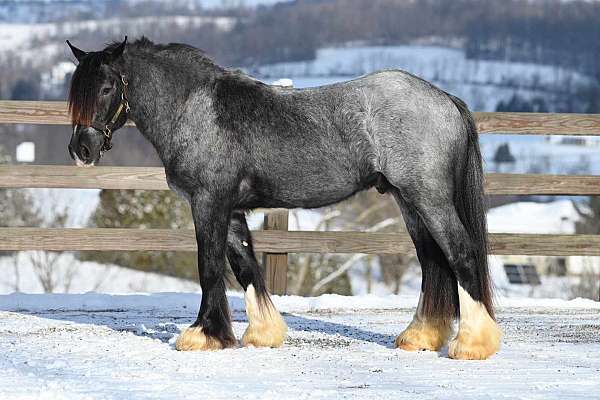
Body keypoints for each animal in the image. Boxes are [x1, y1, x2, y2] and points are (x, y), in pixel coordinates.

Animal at [65, 37, 502, 360]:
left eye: (106, 87)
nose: (81, 149)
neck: (195, 109)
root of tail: (444, 98)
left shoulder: (208, 202)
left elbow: (210, 267)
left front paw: (202, 336)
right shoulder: (230, 208)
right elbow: (245, 265)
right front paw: (262, 333)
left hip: (429, 198)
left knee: (460, 254)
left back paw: (472, 344)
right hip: (408, 202)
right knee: (433, 262)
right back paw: (420, 337)